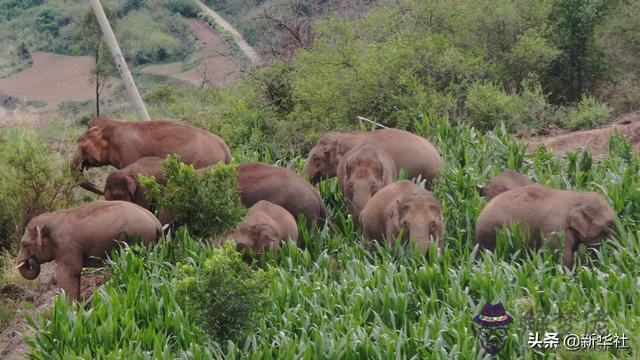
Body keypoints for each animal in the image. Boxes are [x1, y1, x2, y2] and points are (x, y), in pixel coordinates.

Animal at [15, 201, 162, 300]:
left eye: (24, 244)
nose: (30, 260)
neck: (53, 217)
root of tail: (157, 223)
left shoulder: (67, 247)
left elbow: (66, 275)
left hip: (141, 239)